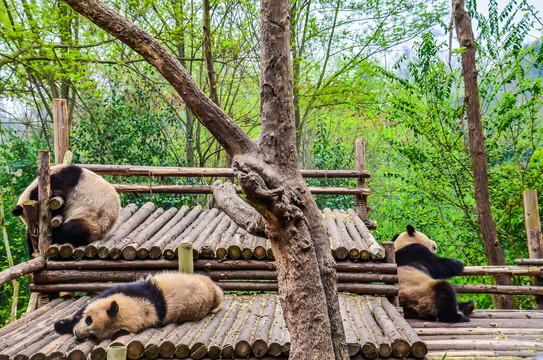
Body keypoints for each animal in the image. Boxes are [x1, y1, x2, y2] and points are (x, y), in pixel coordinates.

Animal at [54, 272, 224, 342]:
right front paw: (63, 325)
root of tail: (214, 292)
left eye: (93, 336)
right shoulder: (136, 290)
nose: (76, 333)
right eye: (89, 320)